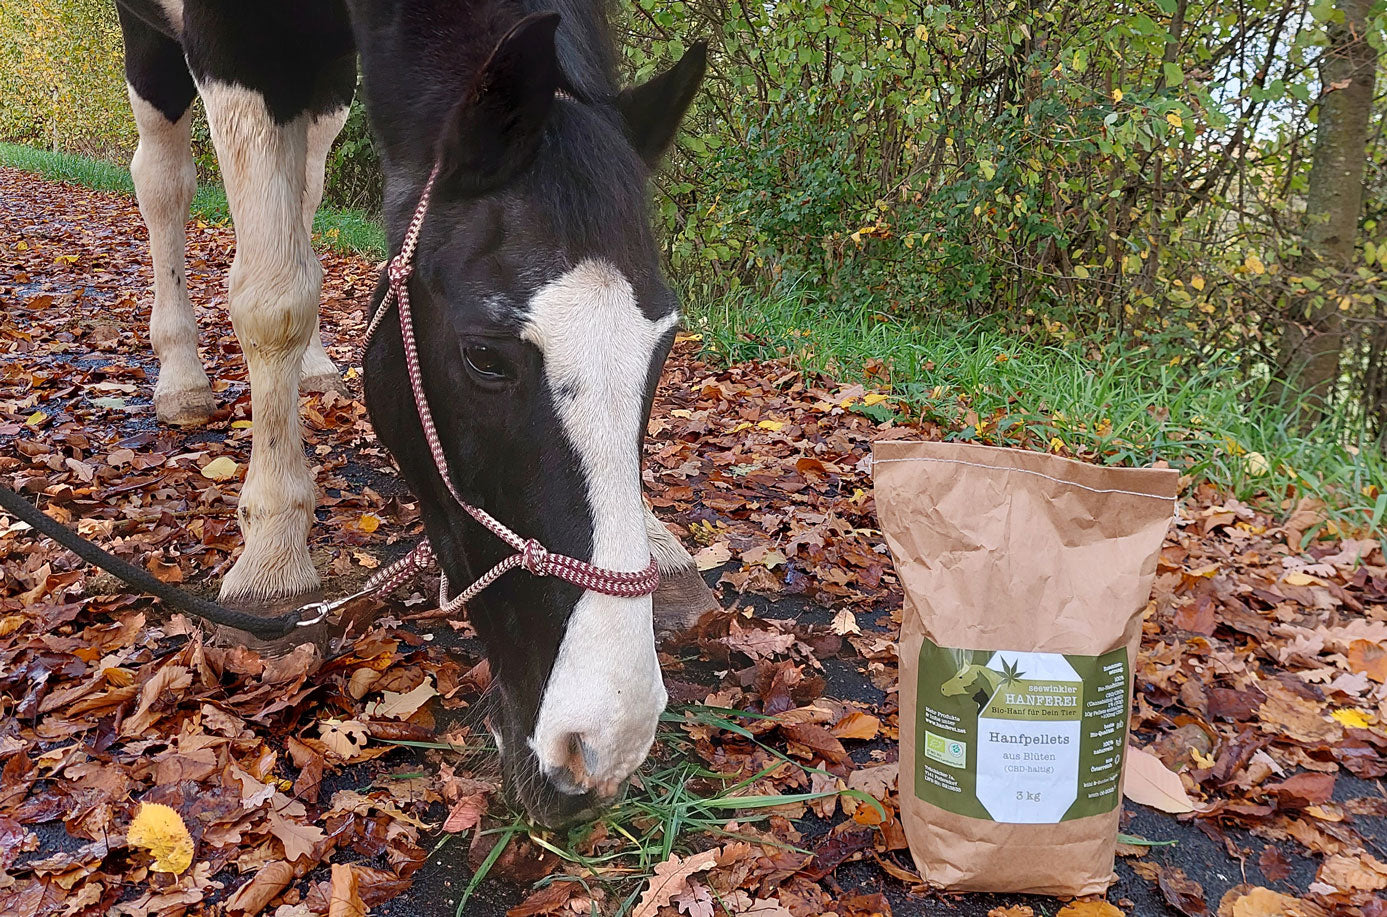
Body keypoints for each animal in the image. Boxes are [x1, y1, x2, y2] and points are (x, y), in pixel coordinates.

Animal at [110, 0, 704, 826]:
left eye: (665, 342)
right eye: (485, 357)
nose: (601, 743)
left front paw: (656, 534)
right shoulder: (237, 50)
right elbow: (272, 298)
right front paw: (272, 551)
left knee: (305, 190)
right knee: (164, 181)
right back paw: (182, 375)